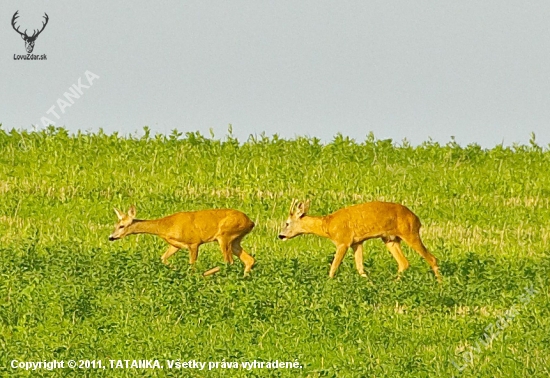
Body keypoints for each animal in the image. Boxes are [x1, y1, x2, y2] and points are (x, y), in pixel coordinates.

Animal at [109, 207, 258, 274]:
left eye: (121, 226)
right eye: (115, 225)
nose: (111, 237)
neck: (166, 227)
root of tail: (251, 222)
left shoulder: (194, 242)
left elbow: (192, 264)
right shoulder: (176, 245)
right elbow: (163, 258)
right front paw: (176, 270)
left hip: (224, 235)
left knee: (229, 262)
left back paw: (207, 274)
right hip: (235, 240)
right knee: (249, 260)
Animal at [278, 199, 442, 282]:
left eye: (287, 223)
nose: (280, 235)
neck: (328, 226)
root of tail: (417, 219)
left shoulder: (343, 241)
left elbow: (333, 267)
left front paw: (328, 283)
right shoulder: (357, 242)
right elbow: (360, 267)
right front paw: (369, 283)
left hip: (409, 233)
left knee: (432, 258)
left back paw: (440, 284)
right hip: (389, 239)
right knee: (404, 262)